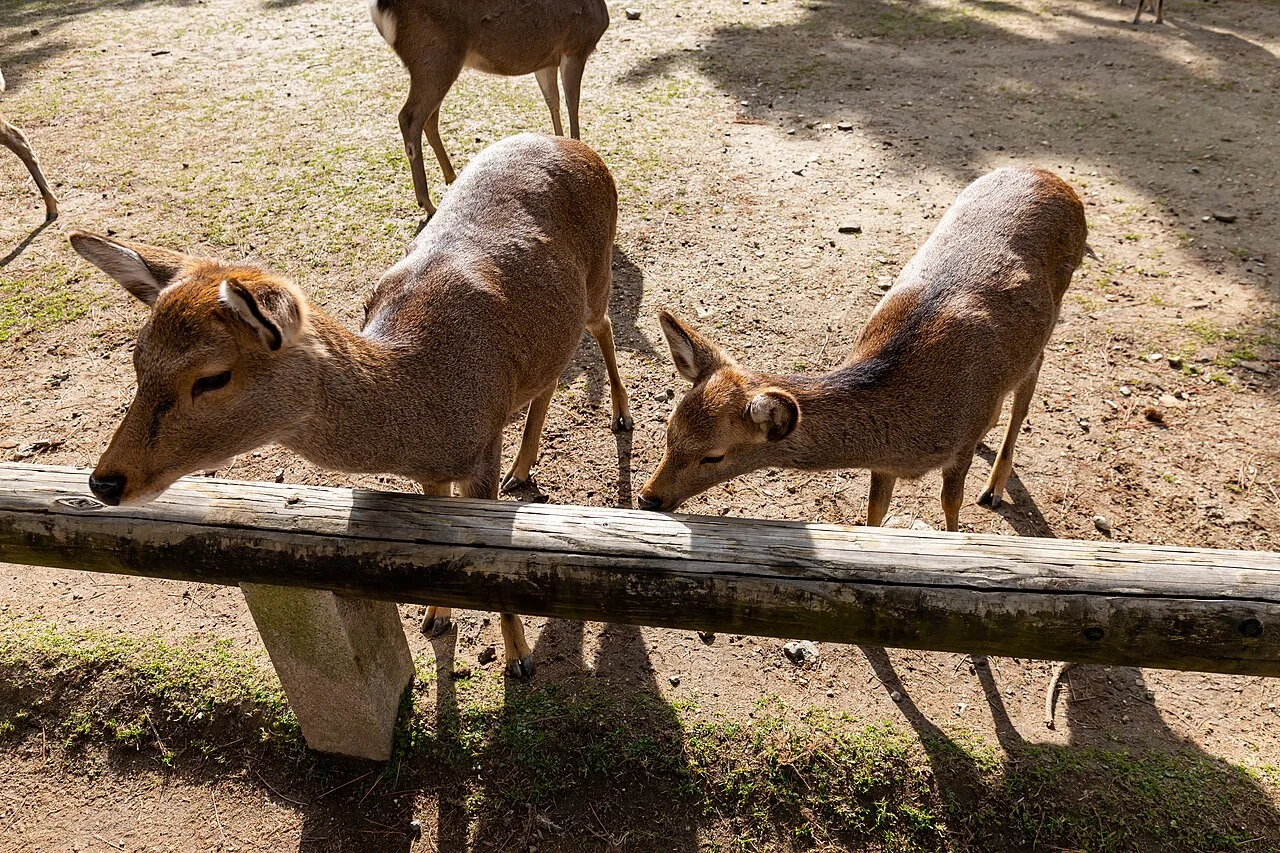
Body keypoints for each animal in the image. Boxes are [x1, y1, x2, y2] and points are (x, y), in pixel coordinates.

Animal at [70, 132, 633, 679]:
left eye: (212, 377)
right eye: (136, 357)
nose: (105, 482)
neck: (425, 402)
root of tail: (577, 147)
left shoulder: (481, 450)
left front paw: (519, 659)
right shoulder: (435, 470)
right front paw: (434, 617)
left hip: (600, 277)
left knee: (603, 330)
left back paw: (620, 417)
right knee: (550, 375)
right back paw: (523, 469)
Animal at [370, 0, 609, 215]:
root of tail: (379, 8)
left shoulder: (547, 60)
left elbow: (553, 101)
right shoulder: (577, 46)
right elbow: (573, 102)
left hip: (434, 65)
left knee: (429, 118)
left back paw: (451, 177)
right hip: (433, 57)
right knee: (409, 117)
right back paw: (428, 203)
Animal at [639, 167, 1089, 532]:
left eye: (713, 456)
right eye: (668, 431)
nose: (647, 498)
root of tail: (1057, 180)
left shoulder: (958, 446)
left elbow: (951, 506)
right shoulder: (883, 464)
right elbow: (875, 511)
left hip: (1054, 311)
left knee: (1028, 384)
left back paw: (994, 487)